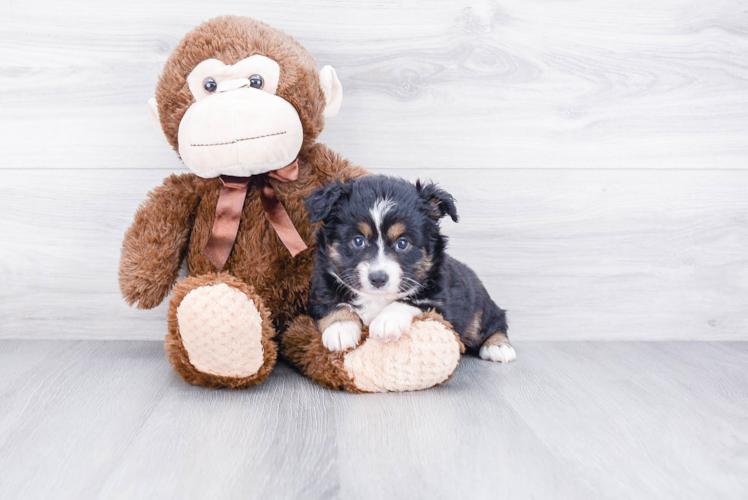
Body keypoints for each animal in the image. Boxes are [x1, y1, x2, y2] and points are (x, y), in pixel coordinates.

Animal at [302, 176, 516, 364]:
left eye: (402, 243)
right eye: (358, 241)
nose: (378, 279)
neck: (376, 298)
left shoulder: (439, 302)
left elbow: (411, 301)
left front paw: (386, 321)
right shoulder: (320, 290)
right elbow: (334, 303)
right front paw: (341, 329)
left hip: (479, 309)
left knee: (495, 322)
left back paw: (498, 347)